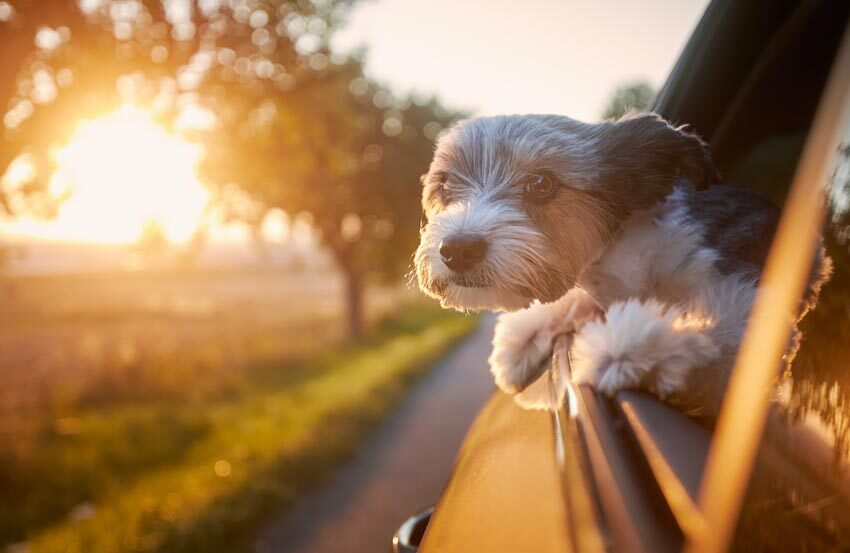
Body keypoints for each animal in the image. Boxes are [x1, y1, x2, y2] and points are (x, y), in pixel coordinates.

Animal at [414, 113, 832, 414]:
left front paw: (627, 347)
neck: (630, 249)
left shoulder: (747, 292)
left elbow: (719, 333)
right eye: (445, 185)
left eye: (542, 183)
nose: (457, 249)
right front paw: (525, 334)